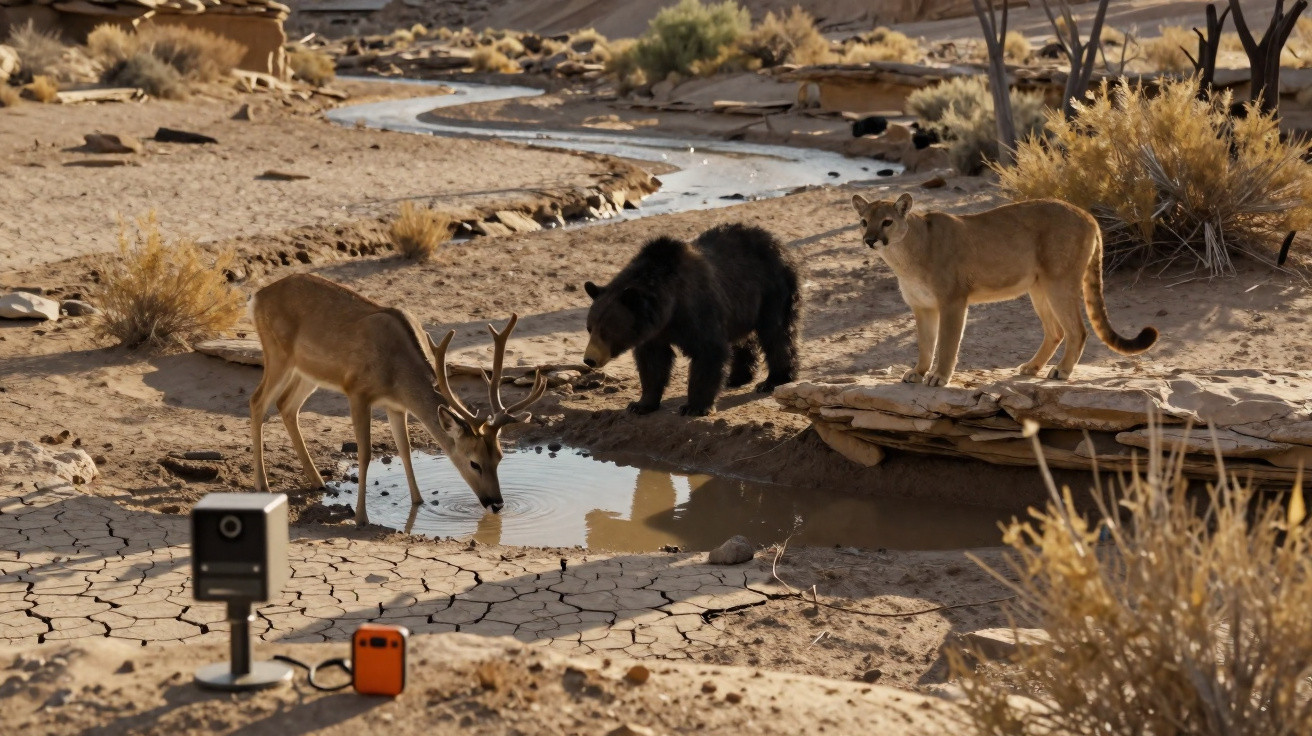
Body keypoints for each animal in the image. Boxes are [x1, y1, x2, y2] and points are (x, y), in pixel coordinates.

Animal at [248, 273, 547, 526]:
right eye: (474, 462)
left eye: (499, 457)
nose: (497, 504)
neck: (397, 371)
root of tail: (257, 296)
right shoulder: (357, 390)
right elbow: (366, 453)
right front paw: (361, 517)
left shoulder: (396, 405)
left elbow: (405, 450)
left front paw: (418, 502)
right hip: (277, 353)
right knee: (258, 400)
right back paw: (263, 485)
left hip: (309, 372)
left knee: (286, 405)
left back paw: (318, 481)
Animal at [582, 222, 801, 416]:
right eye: (590, 328)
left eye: (607, 330)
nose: (589, 359)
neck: (669, 308)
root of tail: (777, 241)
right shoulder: (654, 332)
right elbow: (652, 362)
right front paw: (640, 404)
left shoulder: (697, 309)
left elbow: (708, 351)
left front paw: (694, 407)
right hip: (743, 305)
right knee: (743, 338)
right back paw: (737, 377)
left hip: (772, 290)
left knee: (776, 333)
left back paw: (773, 380)